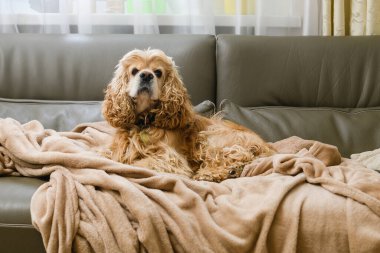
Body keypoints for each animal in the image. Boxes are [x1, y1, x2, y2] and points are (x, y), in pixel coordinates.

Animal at [101, 48, 274, 182]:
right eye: (134, 71)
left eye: (158, 72)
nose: (146, 75)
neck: (144, 121)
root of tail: (265, 144)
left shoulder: (170, 159)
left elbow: (135, 164)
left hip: (211, 137)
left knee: (237, 156)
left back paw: (210, 174)